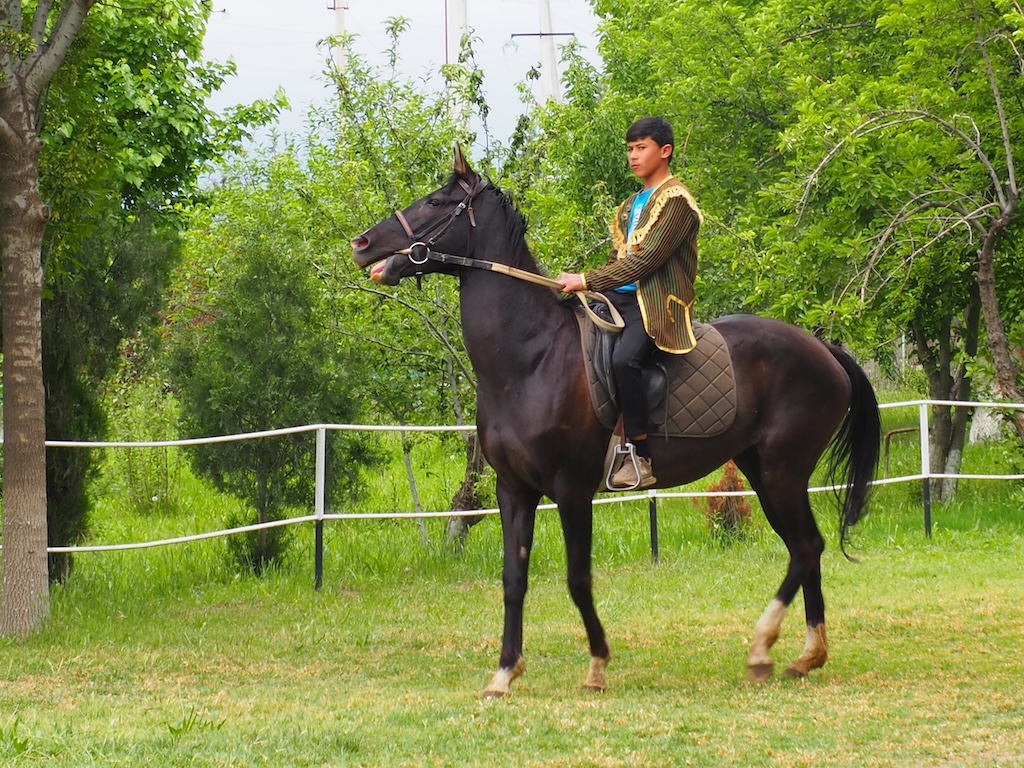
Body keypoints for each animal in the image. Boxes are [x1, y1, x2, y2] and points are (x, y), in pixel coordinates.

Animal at [351, 148, 881, 697]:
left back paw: (762, 650)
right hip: (764, 472)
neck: (531, 359)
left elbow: (577, 578)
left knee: (806, 548)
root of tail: (823, 349)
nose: (362, 244)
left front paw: (597, 664)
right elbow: (513, 579)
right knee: (806, 548)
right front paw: (504, 672)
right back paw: (807, 655)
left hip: (781, 473)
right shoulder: (513, 489)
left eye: (437, 201)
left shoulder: (571, 489)